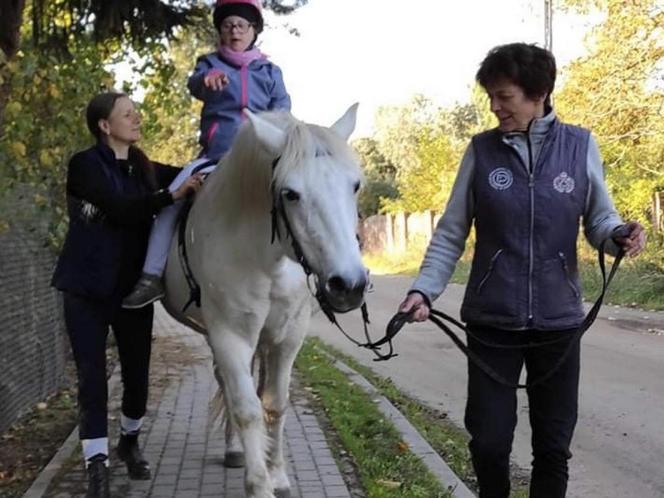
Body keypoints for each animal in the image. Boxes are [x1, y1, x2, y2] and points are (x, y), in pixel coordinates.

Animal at [161, 105, 368, 498]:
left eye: (355, 185)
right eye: (290, 194)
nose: (349, 285)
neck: (265, 258)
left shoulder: (287, 339)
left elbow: (275, 404)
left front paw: (279, 477)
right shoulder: (230, 336)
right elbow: (247, 408)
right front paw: (259, 484)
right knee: (228, 387)